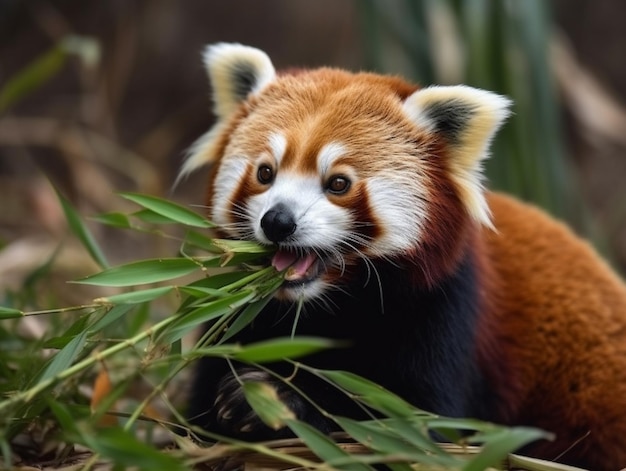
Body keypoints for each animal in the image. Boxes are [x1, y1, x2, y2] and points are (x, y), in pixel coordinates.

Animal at [182, 44, 626, 471]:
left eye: (338, 183)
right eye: (265, 173)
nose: (278, 221)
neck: (323, 309)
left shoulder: (443, 312)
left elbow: (409, 429)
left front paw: (275, 399)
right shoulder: (238, 317)